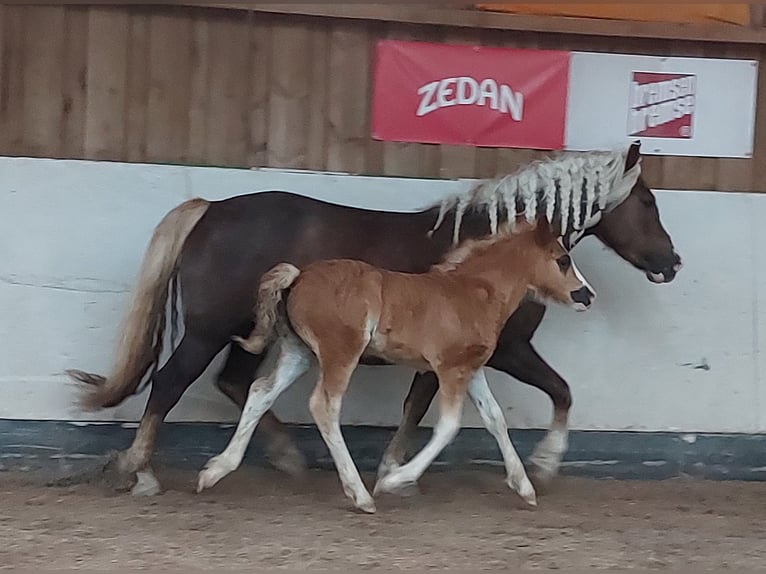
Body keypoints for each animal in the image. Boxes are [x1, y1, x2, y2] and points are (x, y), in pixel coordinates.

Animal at [195, 223, 596, 516]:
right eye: (563, 259)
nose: (587, 296)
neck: (472, 292)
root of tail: (298, 276)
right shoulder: (449, 369)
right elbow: (448, 427)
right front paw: (394, 480)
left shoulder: (471, 369)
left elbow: (495, 419)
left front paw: (524, 487)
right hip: (340, 353)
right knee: (324, 406)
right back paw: (360, 495)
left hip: (300, 353)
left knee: (260, 391)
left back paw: (215, 471)